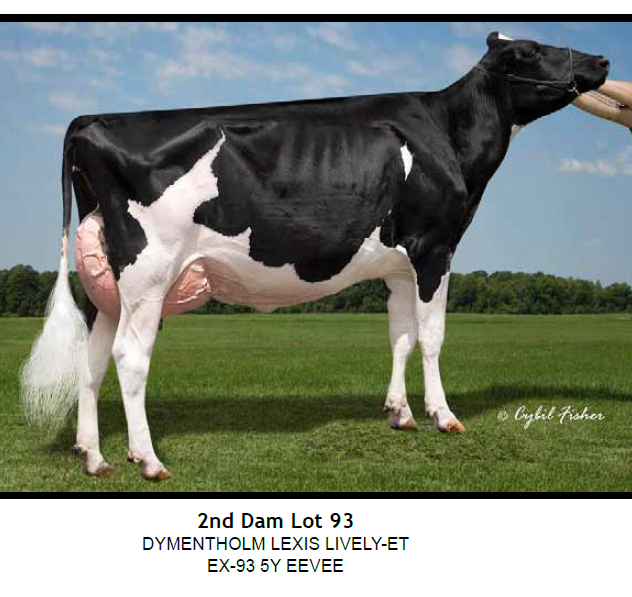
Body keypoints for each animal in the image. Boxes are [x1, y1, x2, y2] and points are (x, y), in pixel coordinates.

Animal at [21, 32, 610, 480]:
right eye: (531, 51)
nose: (603, 60)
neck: (445, 132)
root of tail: (91, 120)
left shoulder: (398, 266)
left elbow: (401, 336)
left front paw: (399, 413)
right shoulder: (434, 248)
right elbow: (433, 337)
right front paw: (443, 416)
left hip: (107, 282)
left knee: (93, 359)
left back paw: (93, 456)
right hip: (149, 269)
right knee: (129, 357)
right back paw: (147, 460)